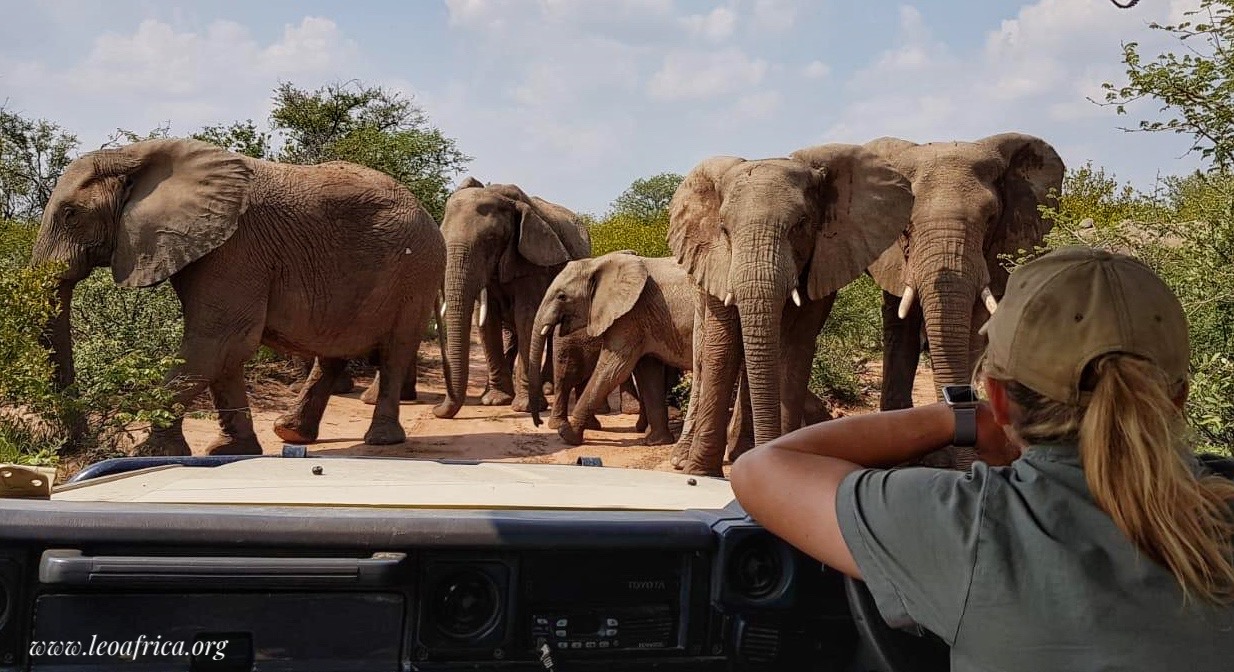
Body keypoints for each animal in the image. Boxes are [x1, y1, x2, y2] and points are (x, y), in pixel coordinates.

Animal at [30, 136, 449, 456]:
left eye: (70, 214)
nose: (75, 446)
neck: (134, 154)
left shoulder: (235, 249)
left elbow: (219, 341)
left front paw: (148, 455)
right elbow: (223, 353)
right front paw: (230, 451)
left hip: (416, 272)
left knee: (395, 349)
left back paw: (380, 440)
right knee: (335, 349)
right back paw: (292, 433)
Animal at [429, 177, 592, 419]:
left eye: (490, 239)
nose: (435, 409)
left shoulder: (534, 263)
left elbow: (526, 318)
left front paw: (525, 407)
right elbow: (487, 321)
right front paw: (495, 400)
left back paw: (547, 388)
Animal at [525, 251, 700, 446]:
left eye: (561, 296)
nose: (538, 423)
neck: (598, 262)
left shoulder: (630, 315)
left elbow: (613, 370)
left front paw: (567, 435)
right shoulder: (643, 320)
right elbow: (648, 372)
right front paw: (655, 441)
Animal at [666, 145, 918, 475]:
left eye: (800, 224)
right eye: (724, 229)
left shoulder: (822, 260)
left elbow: (795, 349)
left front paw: (777, 459)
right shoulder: (716, 262)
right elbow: (721, 349)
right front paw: (699, 473)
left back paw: (741, 451)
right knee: (704, 354)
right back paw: (683, 458)